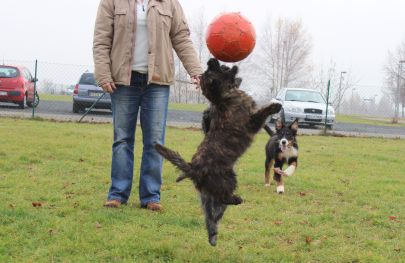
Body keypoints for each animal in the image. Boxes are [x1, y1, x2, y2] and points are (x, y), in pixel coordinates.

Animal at [155, 58, 280, 246]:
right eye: (212, 71)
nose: (211, 60)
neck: (223, 98)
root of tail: (193, 169)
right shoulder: (251, 122)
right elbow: (262, 112)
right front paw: (275, 106)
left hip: (211, 197)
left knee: (212, 216)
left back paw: (212, 235)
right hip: (228, 181)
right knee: (223, 201)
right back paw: (236, 200)